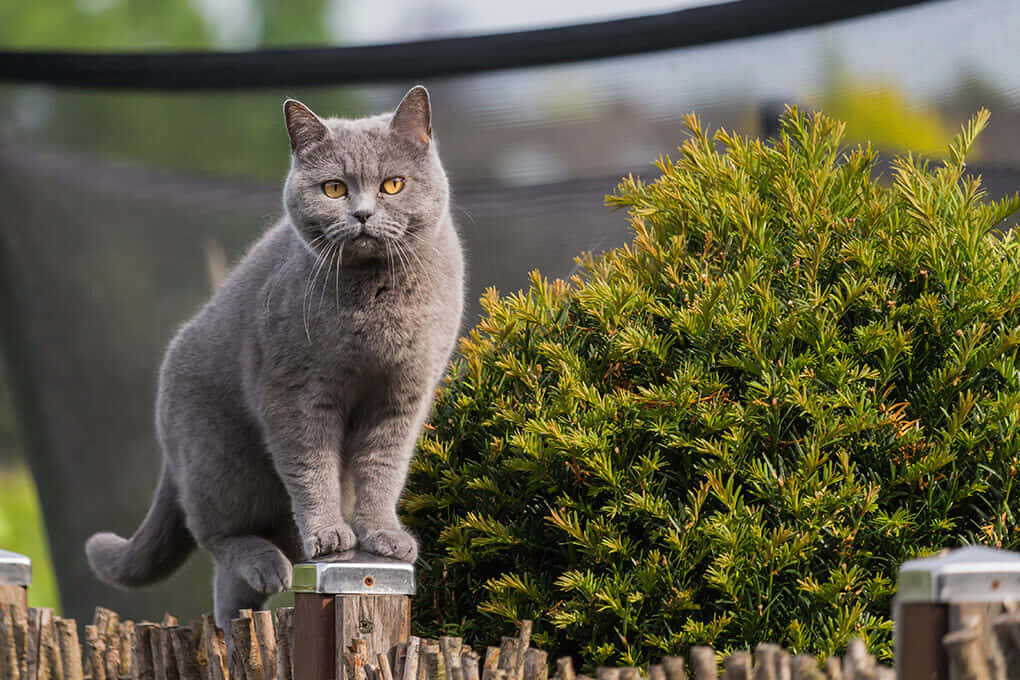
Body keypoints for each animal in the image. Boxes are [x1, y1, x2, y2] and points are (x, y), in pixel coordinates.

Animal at [84, 86, 467, 632]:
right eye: (334, 189)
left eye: (393, 184)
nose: (362, 214)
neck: (374, 303)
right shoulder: (294, 392)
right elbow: (311, 466)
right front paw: (329, 534)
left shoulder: (402, 395)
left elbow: (383, 468)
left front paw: (384, 537)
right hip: (220, 457)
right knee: (216, 534)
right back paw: (267, 566)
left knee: (230, 586)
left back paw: (240, 613)